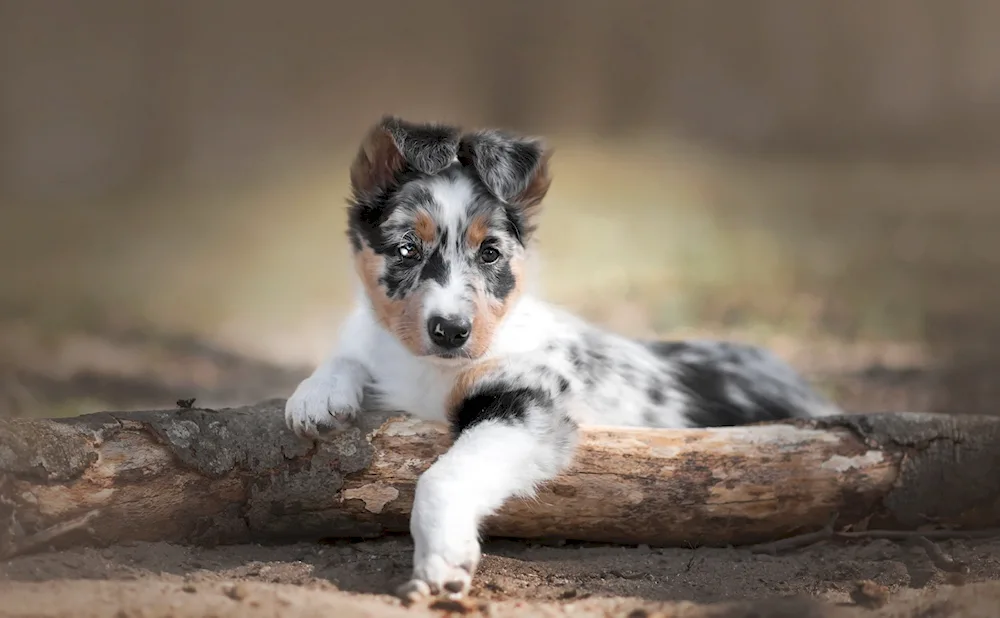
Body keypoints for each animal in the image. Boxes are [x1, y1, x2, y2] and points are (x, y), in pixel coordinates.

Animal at [286, 115, 840, 596]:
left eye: (490, 253)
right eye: (405, 249)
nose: (450, 331)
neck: (427, 368)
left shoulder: (527, 399)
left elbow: (444, 475)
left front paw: (443, 560)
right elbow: (352, 349)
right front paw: (316, 396)